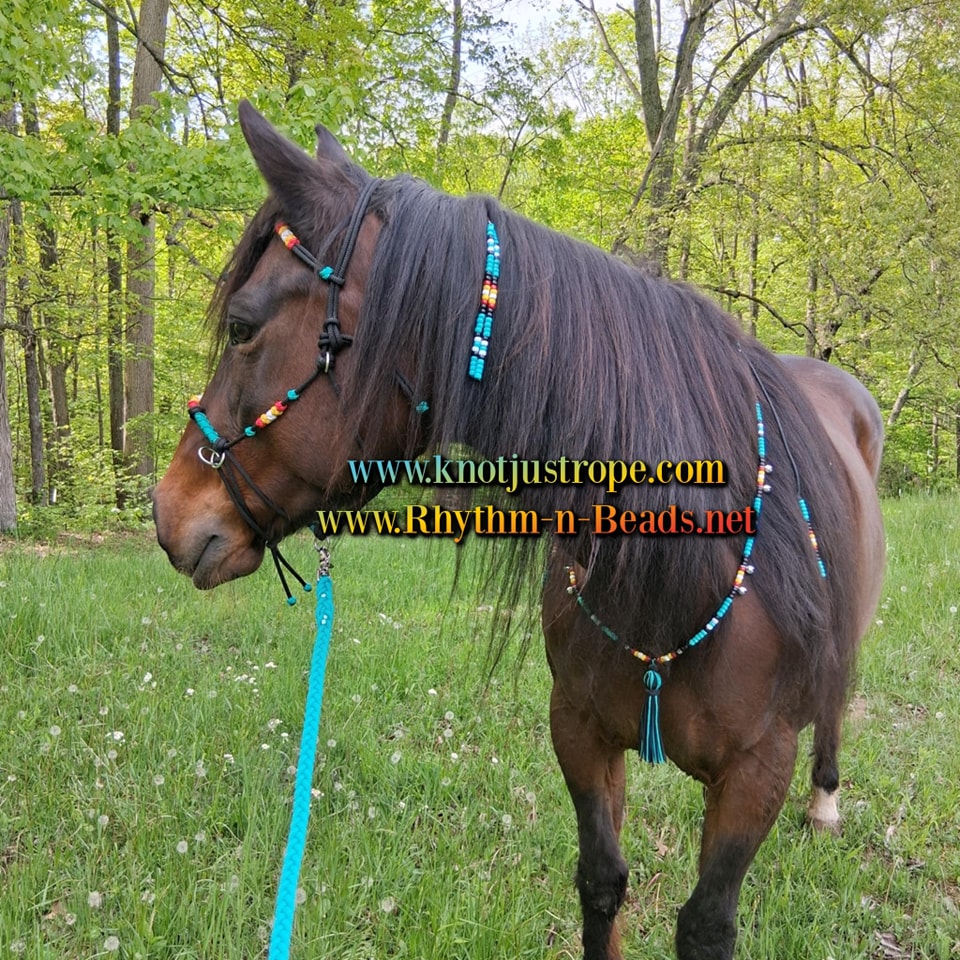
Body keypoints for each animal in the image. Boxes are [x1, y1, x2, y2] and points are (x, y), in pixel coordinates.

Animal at [153, 101, 886, 960]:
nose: (168, 513)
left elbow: (706, 924)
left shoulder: (755, 773)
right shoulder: (580, 733)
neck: (676, 569)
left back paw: (826, 798)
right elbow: (601, 884)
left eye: (242, 327)